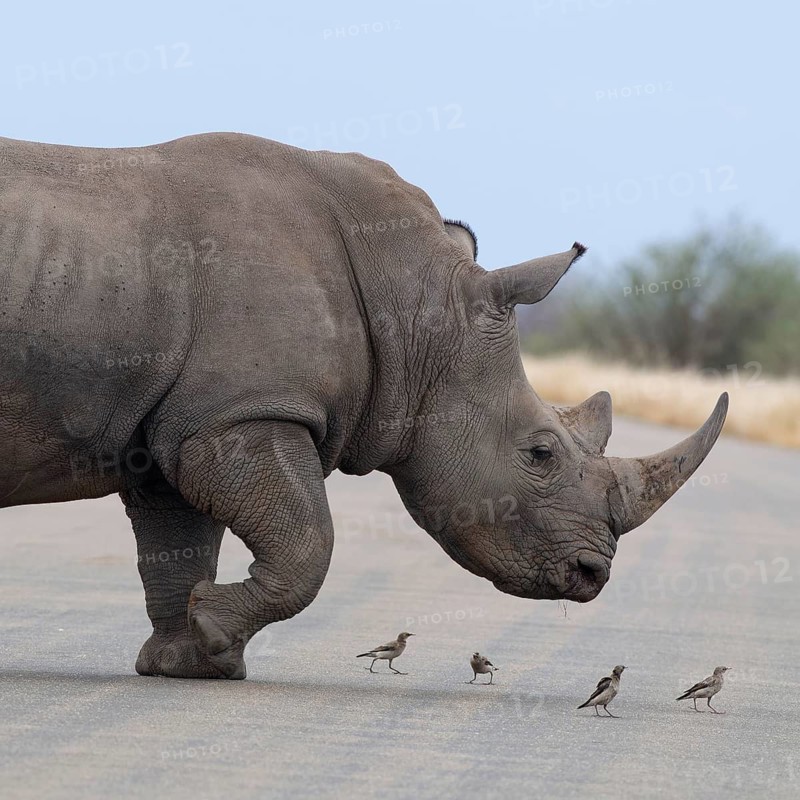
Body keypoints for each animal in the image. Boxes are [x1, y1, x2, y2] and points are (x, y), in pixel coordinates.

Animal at [0, 132, 727, 679]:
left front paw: (189, 659)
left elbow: (177, 544)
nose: (591, 574)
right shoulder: (244, 411)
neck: (417, 308)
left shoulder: (184, 422)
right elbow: (308, 540)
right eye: (540, 452)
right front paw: (213, 635)